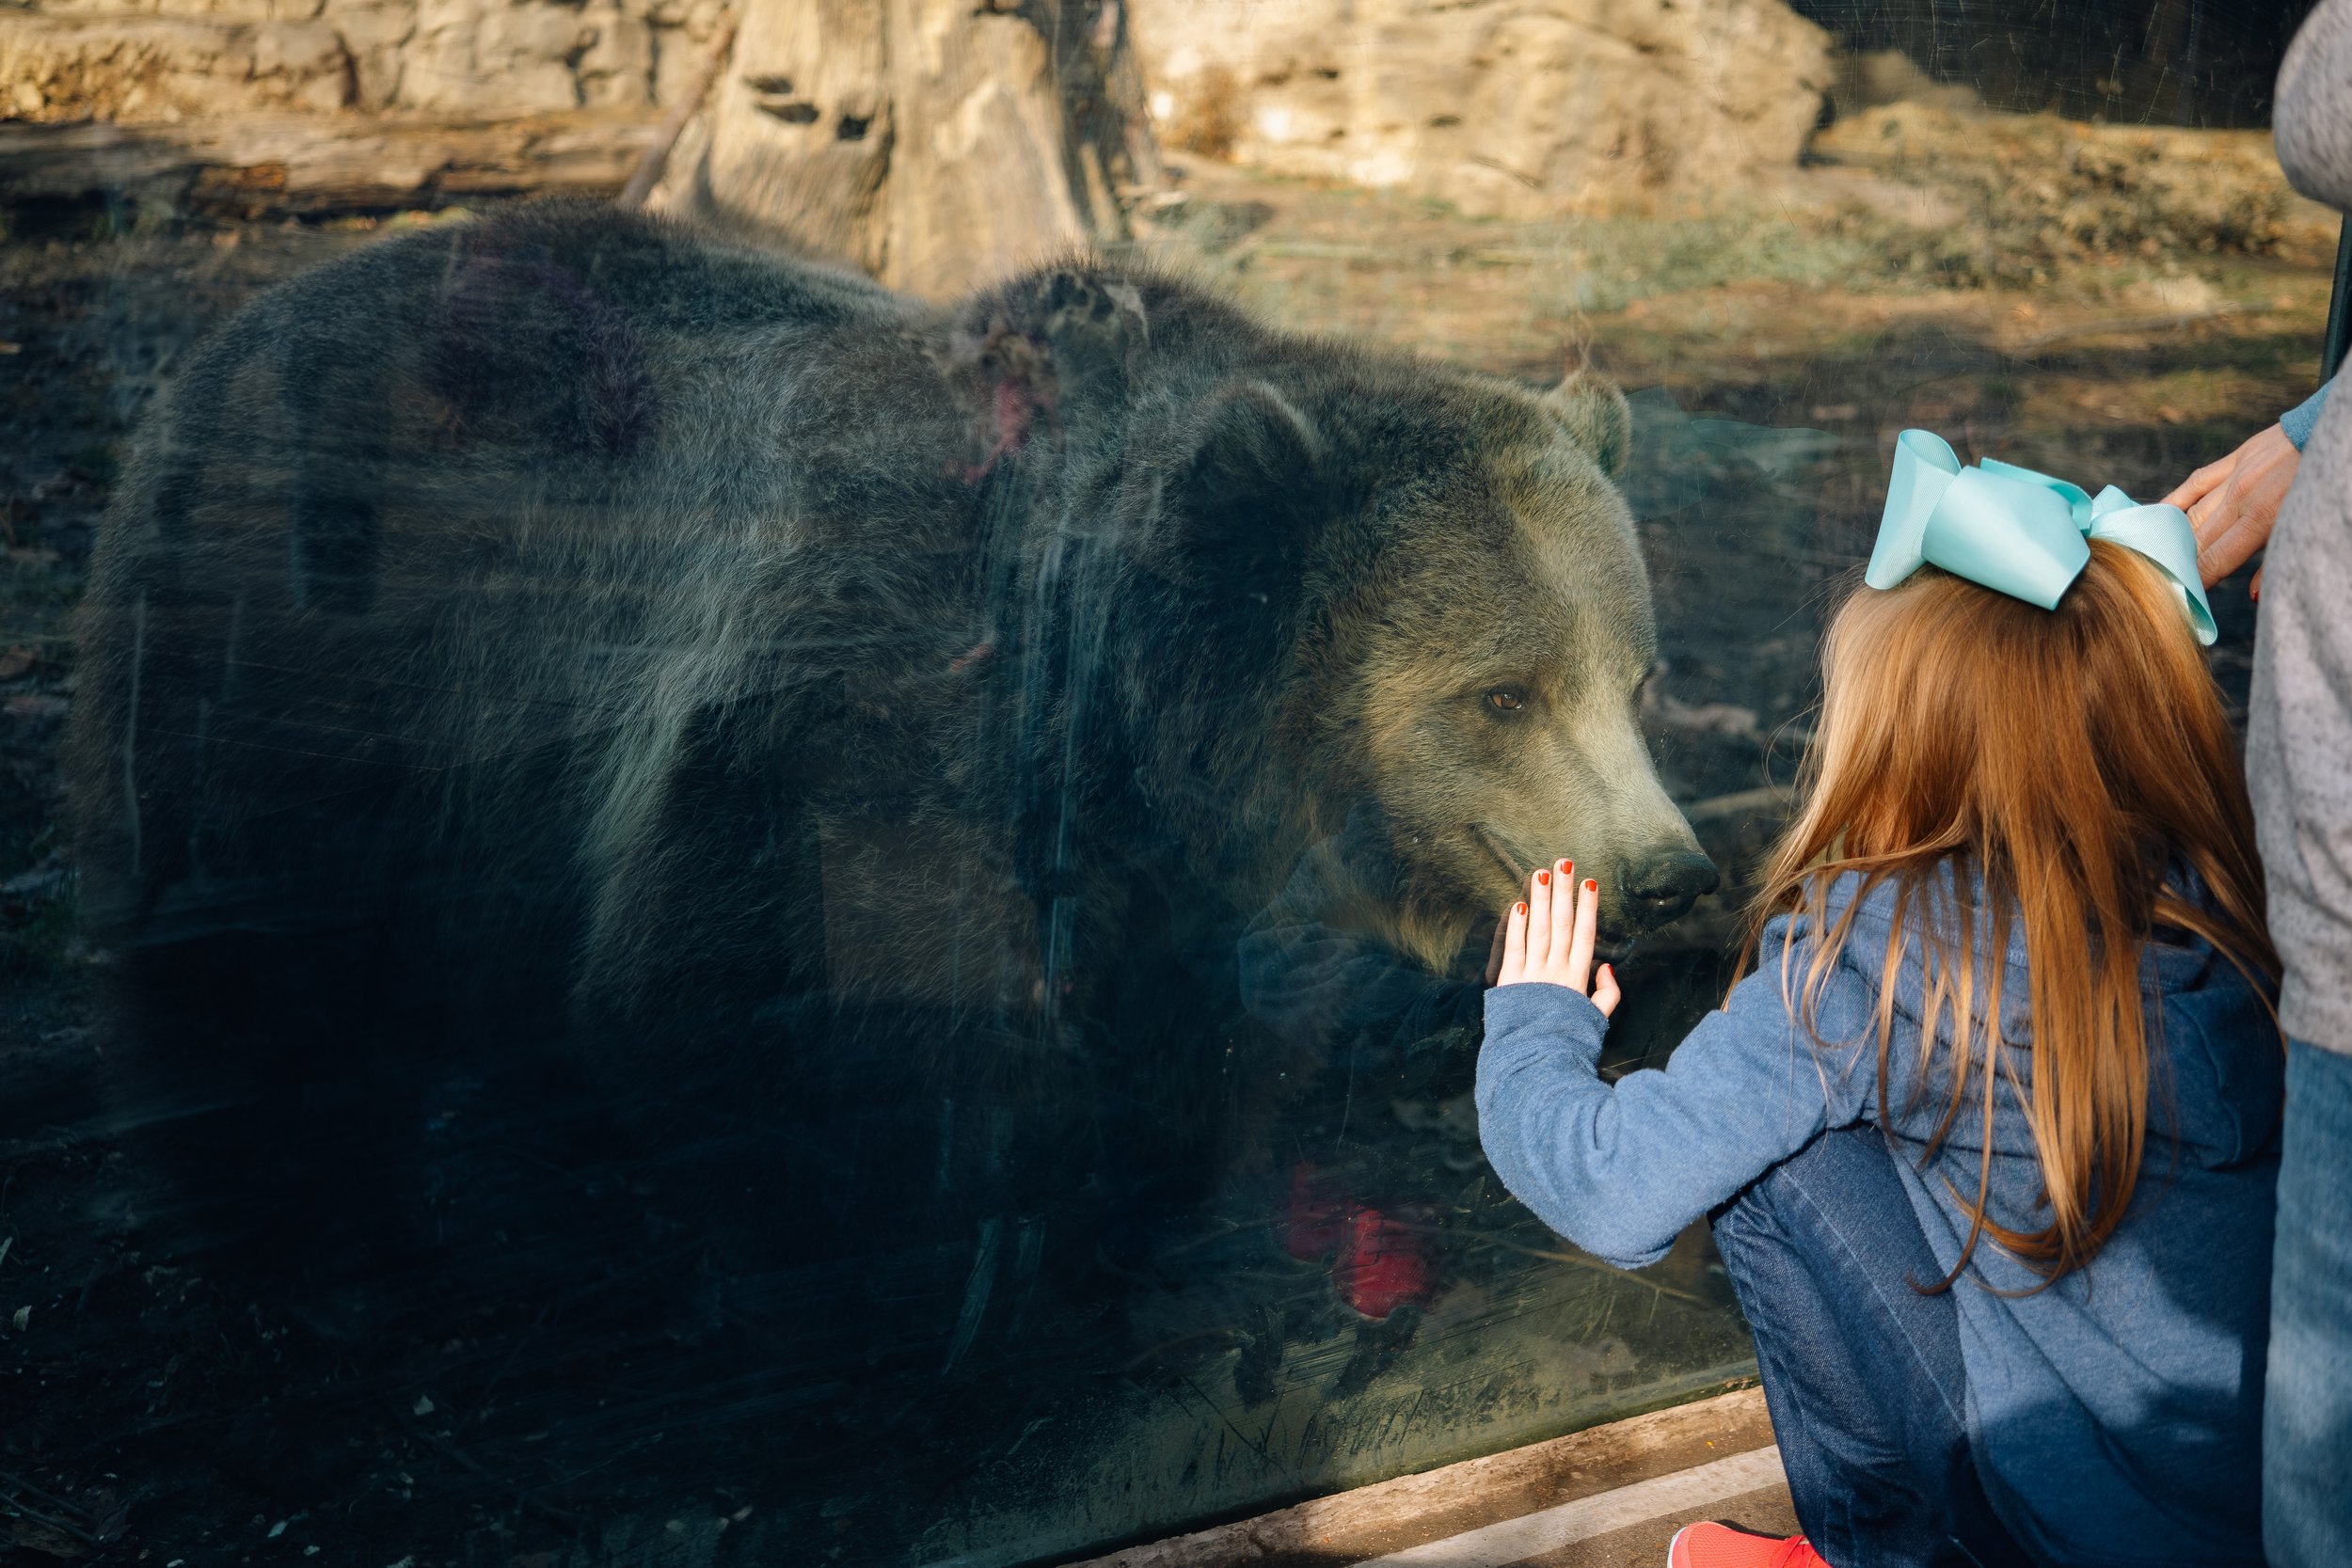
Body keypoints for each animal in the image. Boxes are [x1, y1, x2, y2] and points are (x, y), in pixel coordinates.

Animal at [64, 203, 1715, 1416]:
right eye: (1501, 694)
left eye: (1634, 673)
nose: (1669, 870)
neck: (1107, 705)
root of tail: (230, 331)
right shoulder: (847, 730)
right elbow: (808, 1034)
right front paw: (899, 1314)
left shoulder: (1133, 868)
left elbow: (1148, 1046)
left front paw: (1116, 1242)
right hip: (309, 662)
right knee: (253, 973)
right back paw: (316, 1257)